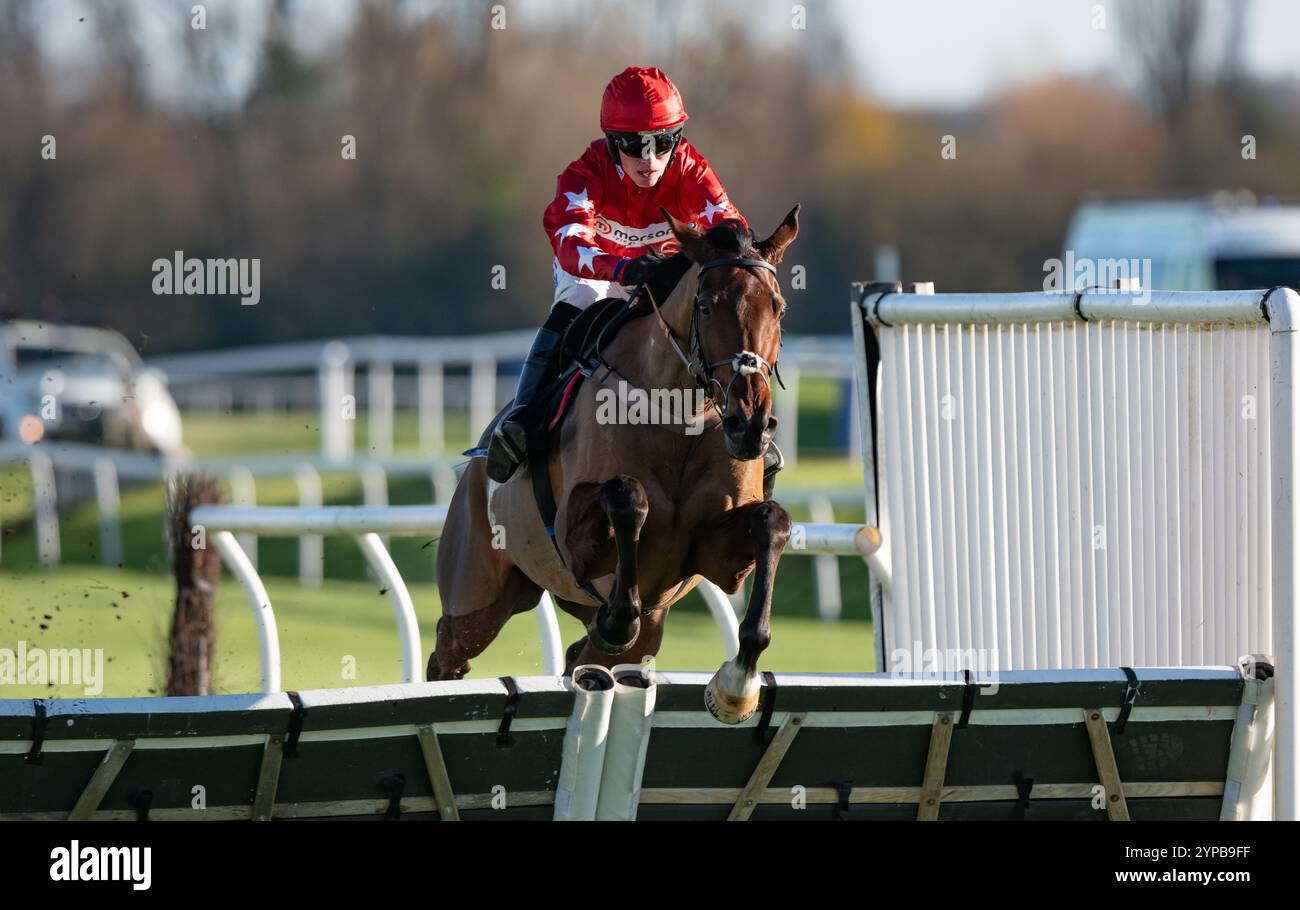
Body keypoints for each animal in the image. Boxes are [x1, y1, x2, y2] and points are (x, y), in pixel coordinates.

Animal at [428, 206, 790, 722]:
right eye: (705, 305)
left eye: (777, 307)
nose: (750, 424)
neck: (677, 419)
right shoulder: (575, 539)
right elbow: (626, 495)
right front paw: (619, 616)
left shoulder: (714, 554)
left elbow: (771, 521)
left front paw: (738, 683)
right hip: (476, 597)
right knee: (448, 652)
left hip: (637, 629)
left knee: (589, 653)